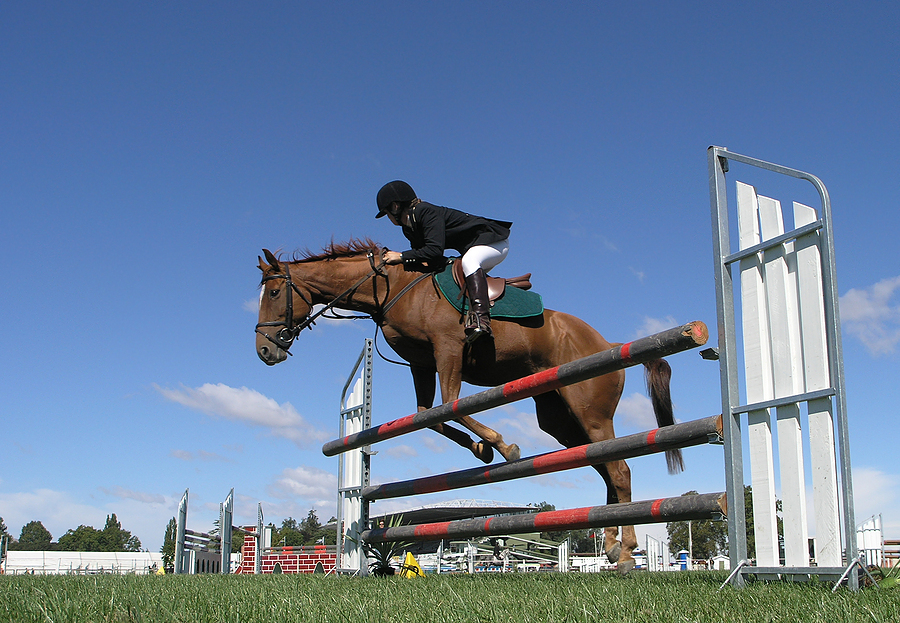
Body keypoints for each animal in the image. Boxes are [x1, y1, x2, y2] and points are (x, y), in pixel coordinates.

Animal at [253, 240, 684, 576]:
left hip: (590, 412)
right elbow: (429, 418)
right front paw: (482, 449)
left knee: (620, 469)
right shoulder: (422, 363)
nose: (265, 351)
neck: (393, 288)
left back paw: (625, 553)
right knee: (605, 466)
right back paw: (611, 543)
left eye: (273, 293)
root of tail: (607, 342)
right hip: (560, 420)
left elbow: (451, 406)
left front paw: (503, 447)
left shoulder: (448, 350)